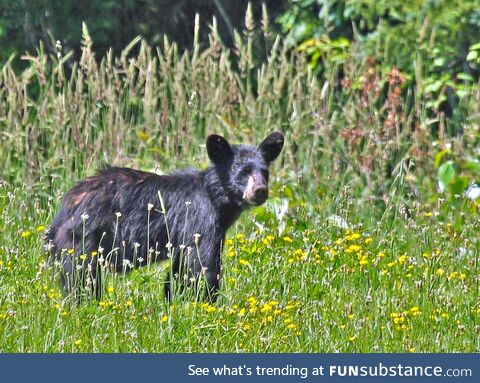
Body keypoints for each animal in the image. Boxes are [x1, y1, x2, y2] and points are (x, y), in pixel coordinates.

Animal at [46, 133, 284, 304]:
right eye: (243, 172)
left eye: (265, 172)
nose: (260, 190)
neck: (215, 197)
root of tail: (63, 210)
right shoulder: (201, 219)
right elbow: (203, 265)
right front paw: (206, 306)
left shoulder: (184, 236)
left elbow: (179, 272)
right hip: (82, 237)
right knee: (81, 276)